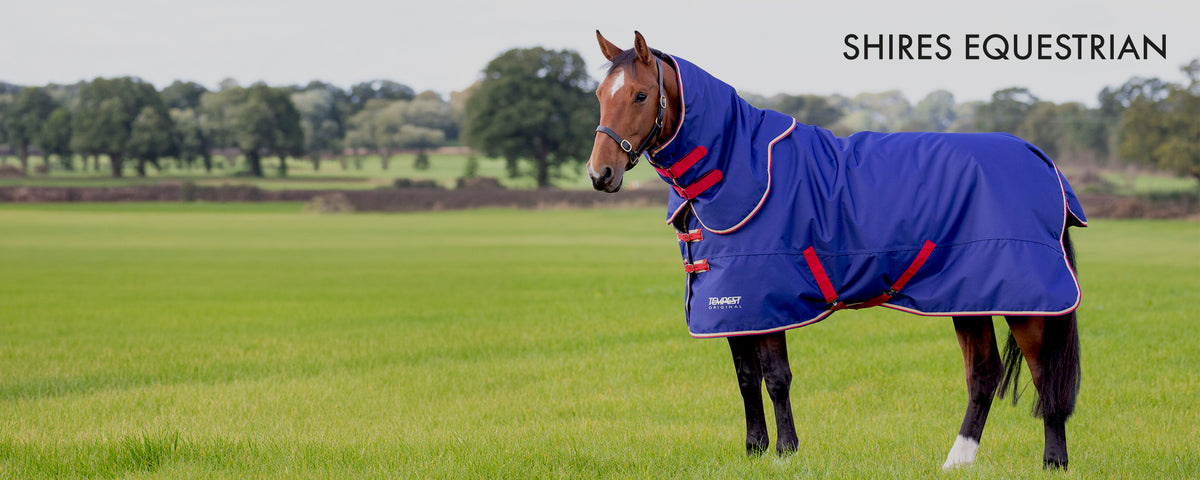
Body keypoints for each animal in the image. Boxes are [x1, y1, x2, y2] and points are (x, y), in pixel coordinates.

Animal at [586, 31, 1084, 470]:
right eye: (599, 95)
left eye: (640, 95)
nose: (599, 174)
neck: (736, 167)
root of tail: (1042, 160)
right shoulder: (732, 304)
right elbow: (746, 379)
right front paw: (754, 449)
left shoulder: (768, 300)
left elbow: (775, 378)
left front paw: (786, 451)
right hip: (969, 298)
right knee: (983, 375)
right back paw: (957, 461)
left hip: (1026, 303)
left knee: (1044, 376)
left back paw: (1053, 460)